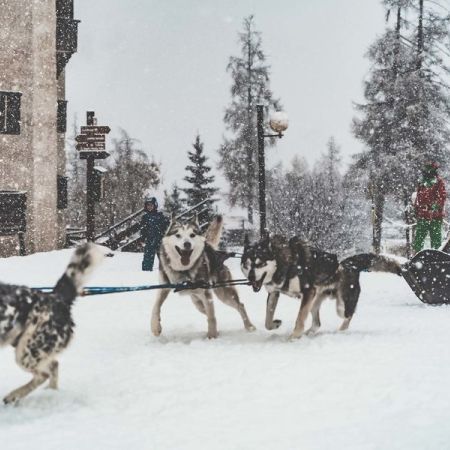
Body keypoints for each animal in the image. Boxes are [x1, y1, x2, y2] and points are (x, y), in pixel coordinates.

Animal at [0, 243, 105, 404]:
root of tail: (57, 298)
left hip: (26, 353)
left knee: (44, 374)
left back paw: (14, 396)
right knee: (53, 366)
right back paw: (51, 392)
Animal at [241, 236, 402, 338]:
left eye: (260, 263)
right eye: (247, 264)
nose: (251, 278)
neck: (286, 263)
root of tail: (348, 264)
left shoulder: (308, 291)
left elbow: (300, 319)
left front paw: (293, 337)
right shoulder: (275, 293)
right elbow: (267, 321)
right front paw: (275, 324)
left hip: (340, 306)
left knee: (348, 316)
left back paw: (340, 332)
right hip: (314, 301)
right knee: (317, 323)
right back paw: (309, 333)